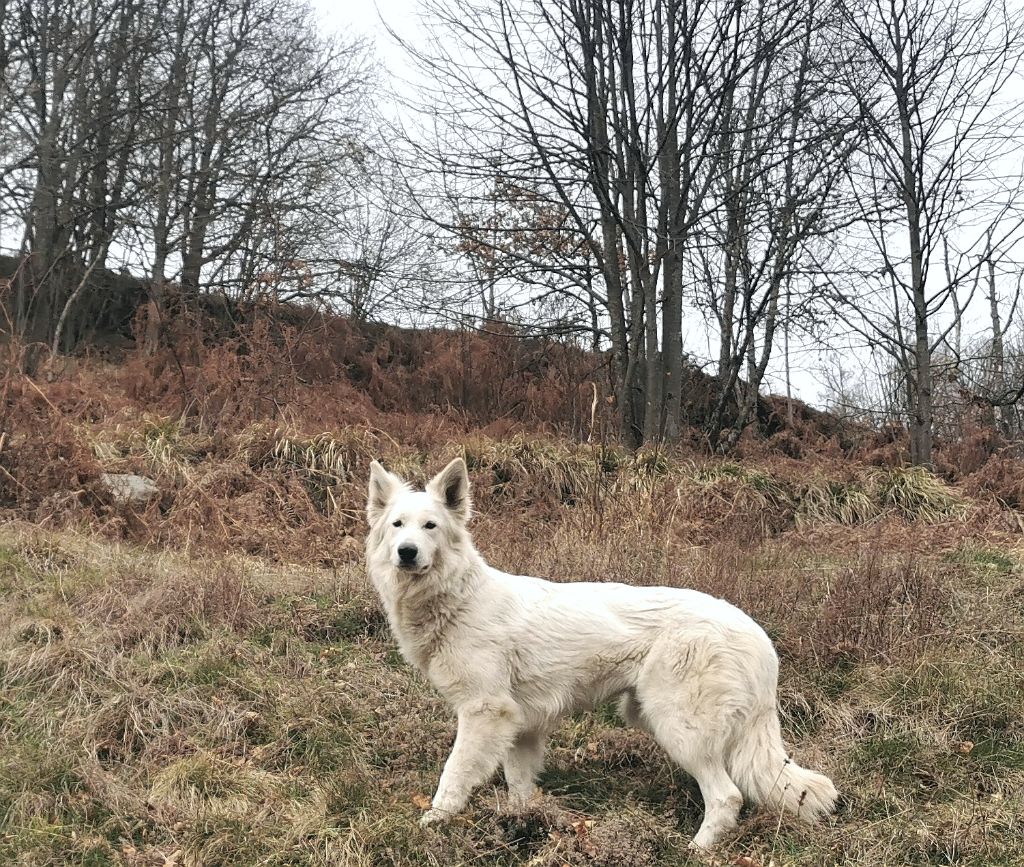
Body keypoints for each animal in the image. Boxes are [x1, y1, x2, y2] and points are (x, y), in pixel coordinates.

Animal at [364, 458, 835, 851]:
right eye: (398, 525)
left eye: (430, 526)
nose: (407, 552)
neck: (457, 599)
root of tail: (758, 636)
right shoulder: (520, 726)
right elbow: (519, 784)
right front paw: (523, 823)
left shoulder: (485, 714)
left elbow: (454, 774)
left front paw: (434, 822)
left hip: (678, 729)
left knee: (727, 796)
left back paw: (696, 850)